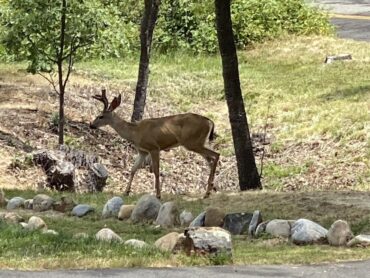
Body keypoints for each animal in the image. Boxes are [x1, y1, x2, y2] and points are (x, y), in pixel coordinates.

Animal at [90, 89, 220, 198]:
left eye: (100, 116)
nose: (91, 125)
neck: (135, 132)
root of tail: (210, 121)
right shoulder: (142, 151)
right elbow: (133, 169)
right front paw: (126, 192)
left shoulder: (154, 148)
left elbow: (156, 171)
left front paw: (158, 194)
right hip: (197, 143)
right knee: (211, 159)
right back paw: (209, 190)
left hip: (192, 142)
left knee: (216, 155)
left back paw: (208, 191)